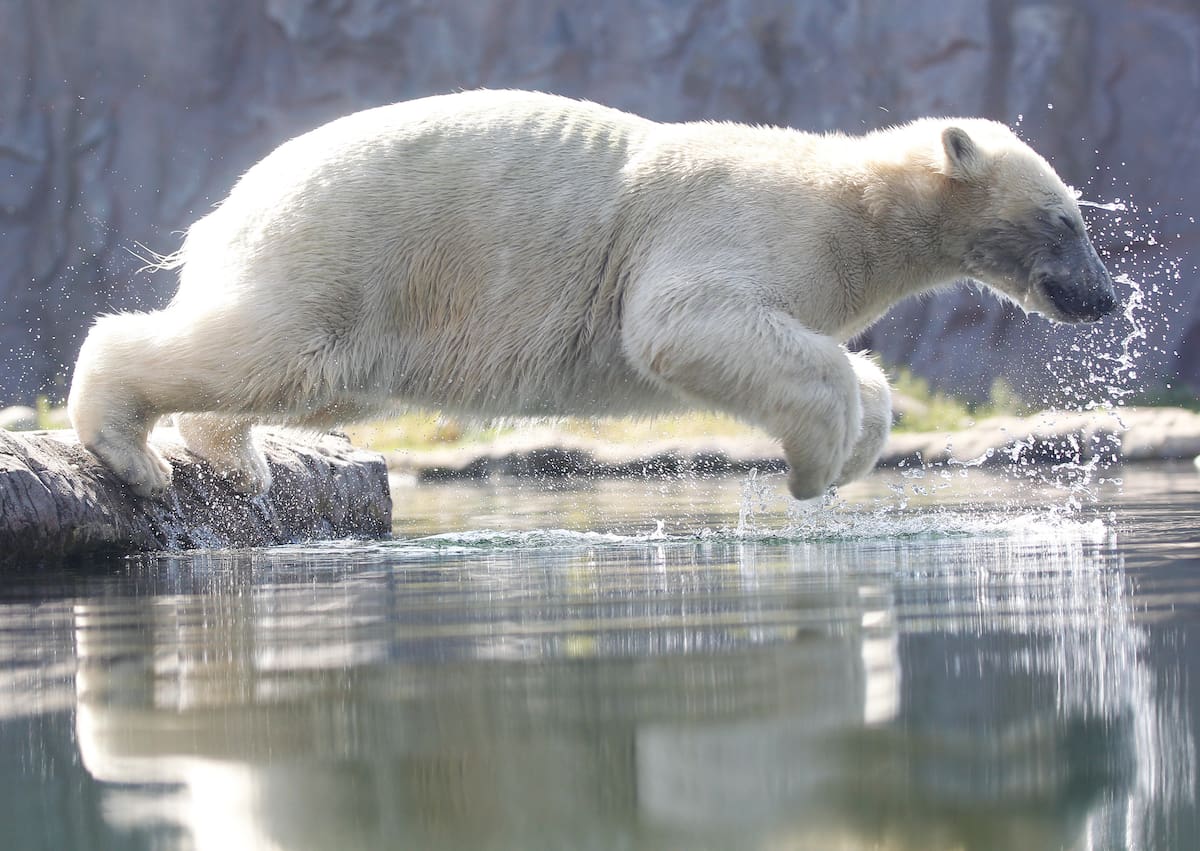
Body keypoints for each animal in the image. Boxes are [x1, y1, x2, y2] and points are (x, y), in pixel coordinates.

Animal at [67, 89, 1117, 501]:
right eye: (1066, 219)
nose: (1103, 300)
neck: (846, 198)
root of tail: (231, 204)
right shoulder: (735, 223)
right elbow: (683, 320)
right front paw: (816, 465)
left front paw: (858, 441)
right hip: (344, 248)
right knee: (262, 344)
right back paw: (132, 451)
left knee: (302, 378)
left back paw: (236, 458)